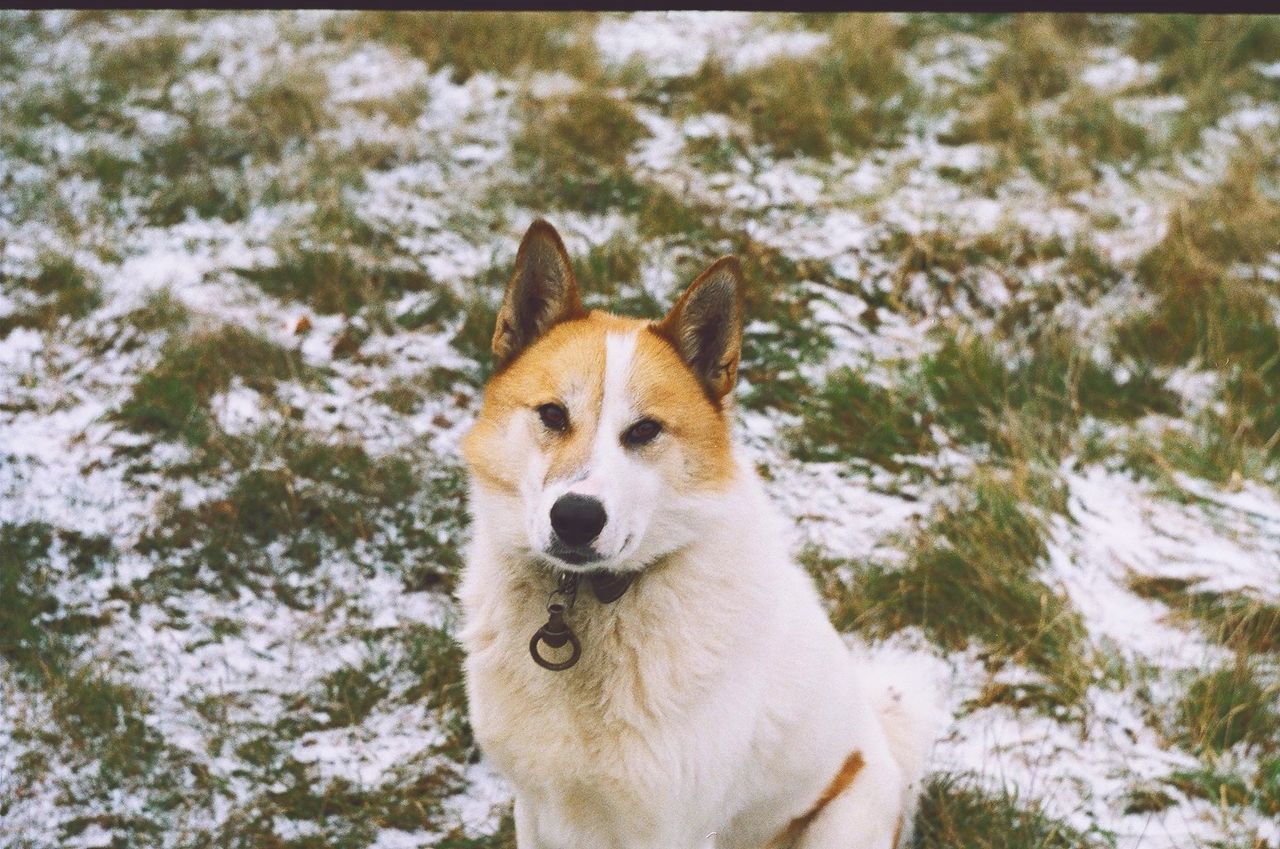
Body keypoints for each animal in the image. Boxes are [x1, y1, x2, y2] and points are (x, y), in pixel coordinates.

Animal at [458, 220, 942, 849]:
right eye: (553, 415)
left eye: (644, 431)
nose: (576, 518)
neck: (591, 603)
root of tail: (883, 748)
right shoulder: (536, 806)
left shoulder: (666, 827)